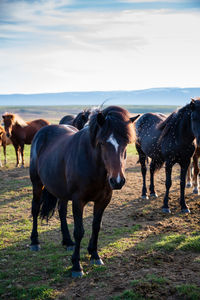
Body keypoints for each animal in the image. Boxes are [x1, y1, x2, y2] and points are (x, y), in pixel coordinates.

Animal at [29, 106, 139, 278]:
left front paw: (94, 255)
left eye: (126, 143)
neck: (92, 163)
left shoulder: (103, 200)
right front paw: (76, 266)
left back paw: (67, 242)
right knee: (35, 208)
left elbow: (96, 226)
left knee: (61, 211)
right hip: (37, 183)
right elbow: (79, 231)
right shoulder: (78, 200)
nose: (117, 181)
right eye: (102, 143)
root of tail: (43, 131)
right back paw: (34, 242)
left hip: (61, 191)